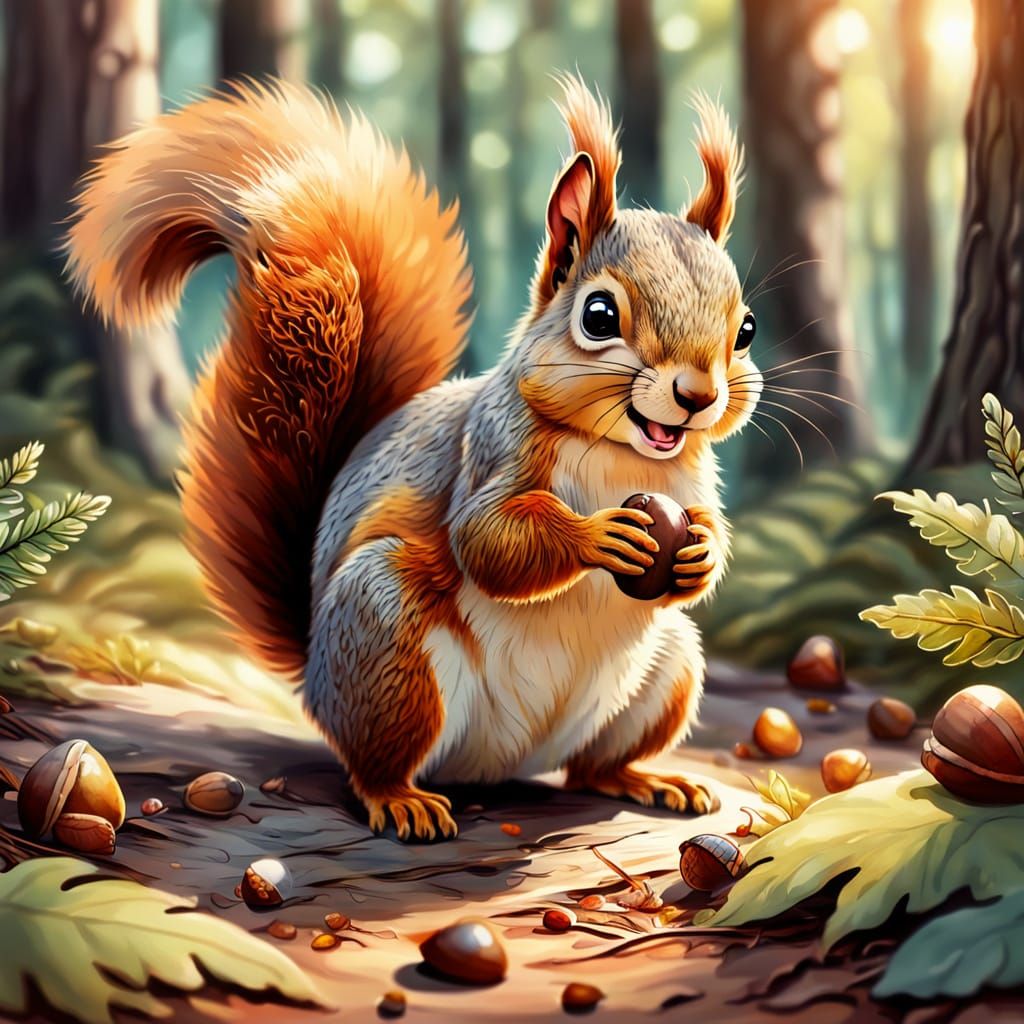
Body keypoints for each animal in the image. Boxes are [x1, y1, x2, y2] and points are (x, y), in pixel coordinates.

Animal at [65, 75, 761, 841]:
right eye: (599, 316)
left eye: (746, 329)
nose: (697, 396)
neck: (621, 451)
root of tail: (500, 765)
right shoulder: (490, 450)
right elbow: (488, 539)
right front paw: (598, 534)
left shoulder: (692, 480)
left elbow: (706, 536)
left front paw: (699, 551)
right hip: (386, 638)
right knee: (377, 761)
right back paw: (401, 799)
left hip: (669, 669)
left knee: (592, 769)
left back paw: (648, 779)